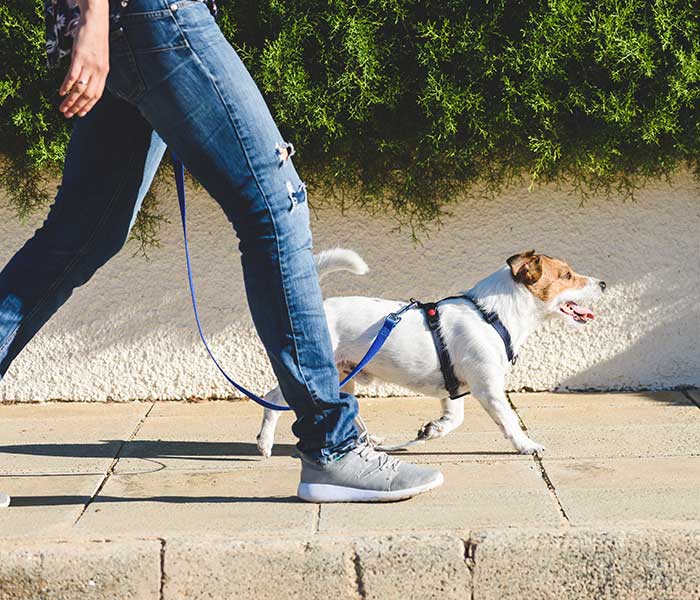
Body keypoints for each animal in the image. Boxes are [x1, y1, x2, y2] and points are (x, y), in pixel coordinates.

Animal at [254, 247, 604, 454]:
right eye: (567, 275)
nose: (602, 284)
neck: (492, 315)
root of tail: (318, 309)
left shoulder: (454, 389)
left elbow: (454, 419)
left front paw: (432, 430)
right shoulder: (488, 388)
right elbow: (509, 420)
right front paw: (526, 444)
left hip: (344, 376)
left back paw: (370, 441)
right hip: (315, 374)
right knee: (272, 400)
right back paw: (265, 443)